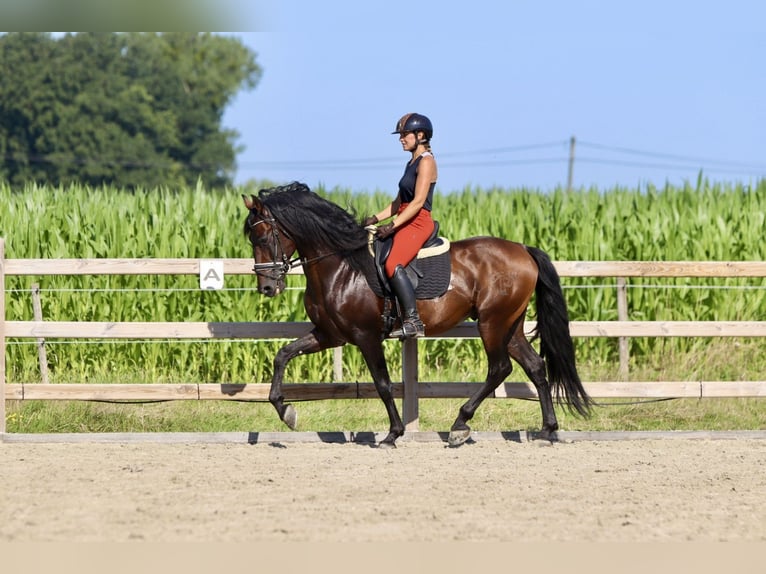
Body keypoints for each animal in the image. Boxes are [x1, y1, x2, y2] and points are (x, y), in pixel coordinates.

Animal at [243, 182, 592, 448]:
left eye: (263, 237)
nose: (267, 288)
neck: (342, 266)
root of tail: (523, 250)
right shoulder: (330, 335)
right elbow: (282, 354)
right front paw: (286, 412)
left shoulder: (366, 337)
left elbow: (383, 384)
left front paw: (392, 434)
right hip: (511, 325)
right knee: (535, 367)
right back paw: (546, 430)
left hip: (492, 323)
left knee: (499, 369)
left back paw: (460, 425)